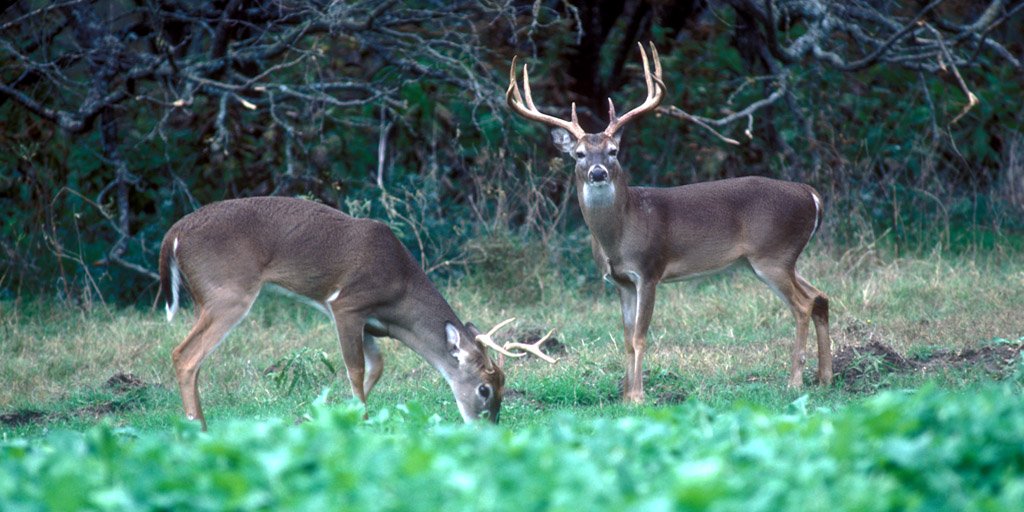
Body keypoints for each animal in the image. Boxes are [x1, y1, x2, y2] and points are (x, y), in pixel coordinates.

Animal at [158, 196, 555, 429]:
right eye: (485, 389)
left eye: (504, 386)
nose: (488, 429)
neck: (398, 290)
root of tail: (173, 234)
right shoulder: (346, 304)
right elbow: (355, 369)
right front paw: (360, 422)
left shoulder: (371, 324)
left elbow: (376, 365)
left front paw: (329, 413)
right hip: (229, 292)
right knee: (184, 355)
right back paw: (198, 430)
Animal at [507, 42, 832, 403]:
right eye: (578, 154)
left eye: (613, 150)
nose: (598, 172)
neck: (620, 233)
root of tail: (810, 195)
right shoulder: (621, 281)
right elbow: (626, 338)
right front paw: (624, 395)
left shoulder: (650, 269)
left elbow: (639, 337)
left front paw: (637, 397)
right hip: (778, 258)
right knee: (821, 297)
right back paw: (825, 378)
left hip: (772, 254)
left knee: (803, 305)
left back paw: (795, 381)